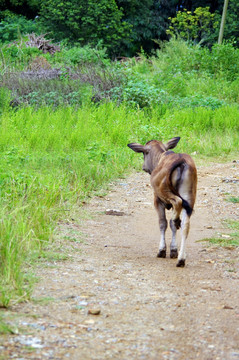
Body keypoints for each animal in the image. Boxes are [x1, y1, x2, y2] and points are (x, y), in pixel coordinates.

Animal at [128, 136, 197, 266]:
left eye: (144, 153)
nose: (144, 167)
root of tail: (181, 162)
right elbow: (171, 225)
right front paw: (174, 250)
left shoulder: (157, 200)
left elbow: (162, 223)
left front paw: (162, 250)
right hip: (190, 196)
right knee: (185, 225)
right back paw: (181, 258)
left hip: (164, 191)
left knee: (177, 203)